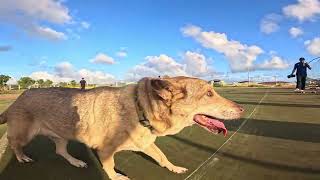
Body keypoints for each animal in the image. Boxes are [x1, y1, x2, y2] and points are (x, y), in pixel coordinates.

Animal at [0, 76, 242, 179]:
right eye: (209, 94)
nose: (242, 109)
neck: (139, 109)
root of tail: (18, 98)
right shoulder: (106, 151)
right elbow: (110, 167)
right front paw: (116, 177)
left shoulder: (147, 144)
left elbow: (162, 157)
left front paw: (173, 168)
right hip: (24, 134)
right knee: (14, 144)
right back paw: (22, 158)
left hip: (63, 134)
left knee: (60, 151)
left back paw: (77, 161)